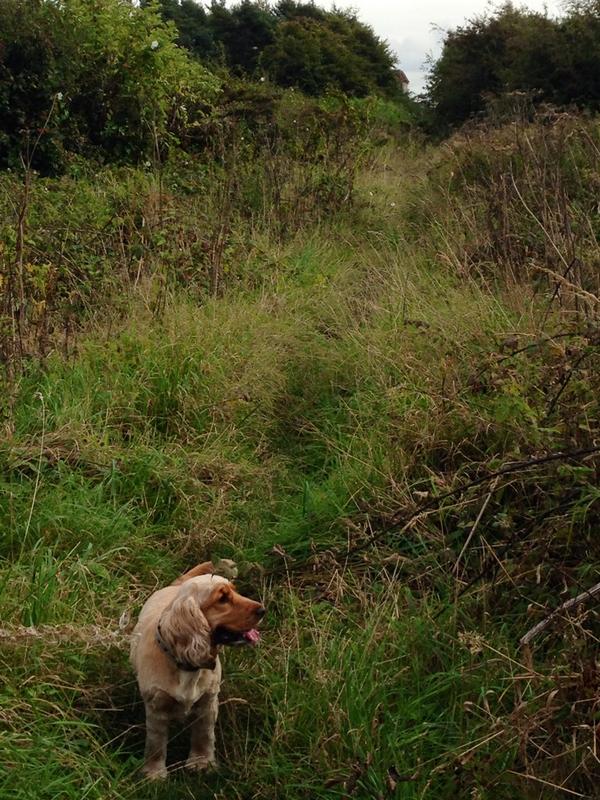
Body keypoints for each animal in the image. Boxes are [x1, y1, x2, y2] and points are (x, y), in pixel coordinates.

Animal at [131, 560, 264, 780]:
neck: (186, 667)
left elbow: (204, 735)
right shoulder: (156, 706)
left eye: (235, 591)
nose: (263, 610)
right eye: (222, 598)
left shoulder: (208, 701)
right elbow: (156, 743)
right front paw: (154, 774)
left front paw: (202, 763)